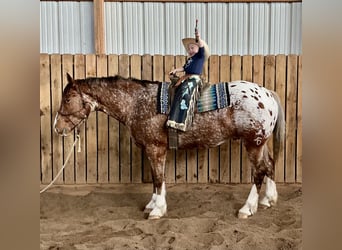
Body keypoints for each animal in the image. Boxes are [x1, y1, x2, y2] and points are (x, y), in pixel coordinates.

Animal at [53, 73, 284, 220]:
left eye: (67, 99)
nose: (57, 127)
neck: (136, 102)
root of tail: (267, 93)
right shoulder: (153, 149)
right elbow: (157, 179)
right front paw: (153, 204)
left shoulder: (155, 148)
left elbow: (158, 178)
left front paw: (157, 210)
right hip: (261, 143)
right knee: (270, 165)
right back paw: (268, 200)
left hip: (252, 143)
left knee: (259, 172)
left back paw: (248, 208)